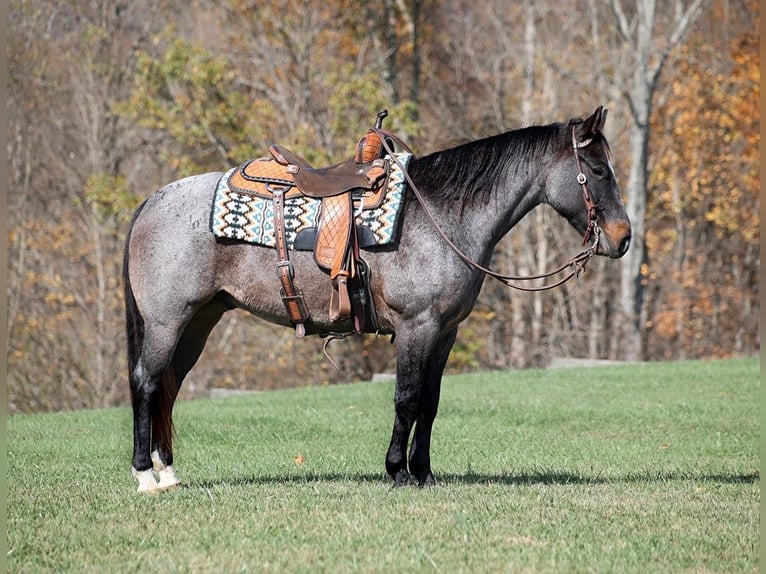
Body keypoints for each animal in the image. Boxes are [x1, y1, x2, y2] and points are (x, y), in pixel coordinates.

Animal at [123, 108, 632, 496]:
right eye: (599, 171)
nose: (623, 238)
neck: (439, 214)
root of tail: (153, 200)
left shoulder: (445, 333)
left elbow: (430, 401)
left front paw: (424, 472)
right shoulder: (416, 327)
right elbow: (407, 398)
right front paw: (398, 471)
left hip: (197, 323)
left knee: (169, 386)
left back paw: (168, 472)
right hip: (167, 322)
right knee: (147, 383)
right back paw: (145, 476)